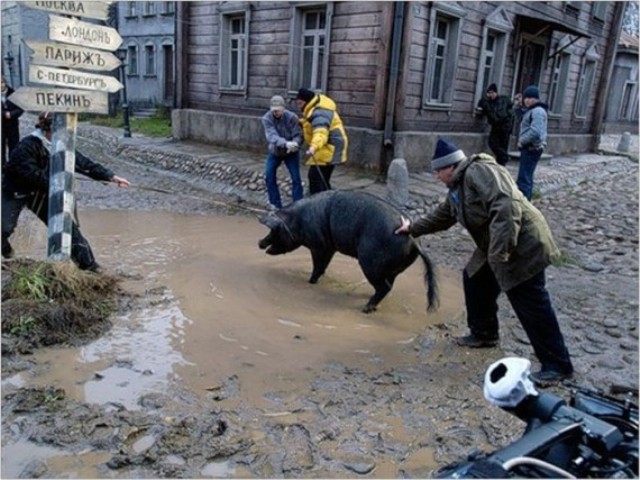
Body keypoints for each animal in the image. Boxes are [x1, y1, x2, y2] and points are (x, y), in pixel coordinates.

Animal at [258, 189, 438, 314]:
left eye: (275, 230)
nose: (260, 243)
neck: (298, 220)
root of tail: (413, 240)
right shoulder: (330, 247)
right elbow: (323, 266)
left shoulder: (318, 245)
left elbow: (317, 266)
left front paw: (310, 281)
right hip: (392, 268)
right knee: (389, 284)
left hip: (370, 262)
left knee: (385, 286)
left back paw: (365, 309)